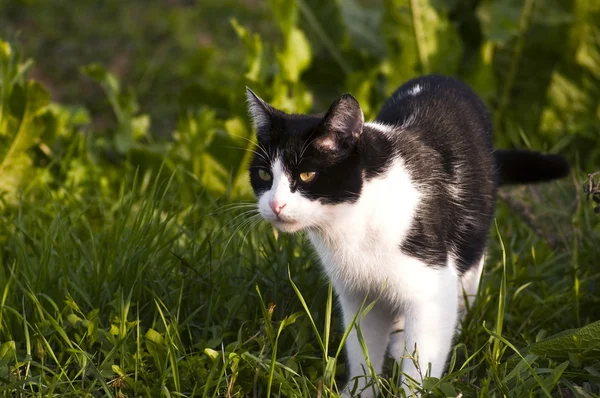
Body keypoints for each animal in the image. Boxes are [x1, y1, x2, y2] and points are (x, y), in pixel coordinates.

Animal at [245, 74, 572, 394]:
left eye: (307, 175)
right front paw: (360, 390)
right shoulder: (358, 295)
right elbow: (363, 351)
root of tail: (443, 78)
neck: (354, 221)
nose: (275, 205)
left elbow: (422, 360)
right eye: (264, 174)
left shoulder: (431, 286)